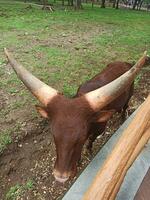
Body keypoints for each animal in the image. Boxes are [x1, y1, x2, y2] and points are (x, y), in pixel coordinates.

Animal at [4, 48, 148, 183]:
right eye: (53, 134)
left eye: (81, 137)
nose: (60, 177)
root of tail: (125, 63)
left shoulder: (99, 129)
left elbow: (91, 140)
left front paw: (88, 150)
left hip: (129, 95)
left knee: (125, 107)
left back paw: (122, 117)